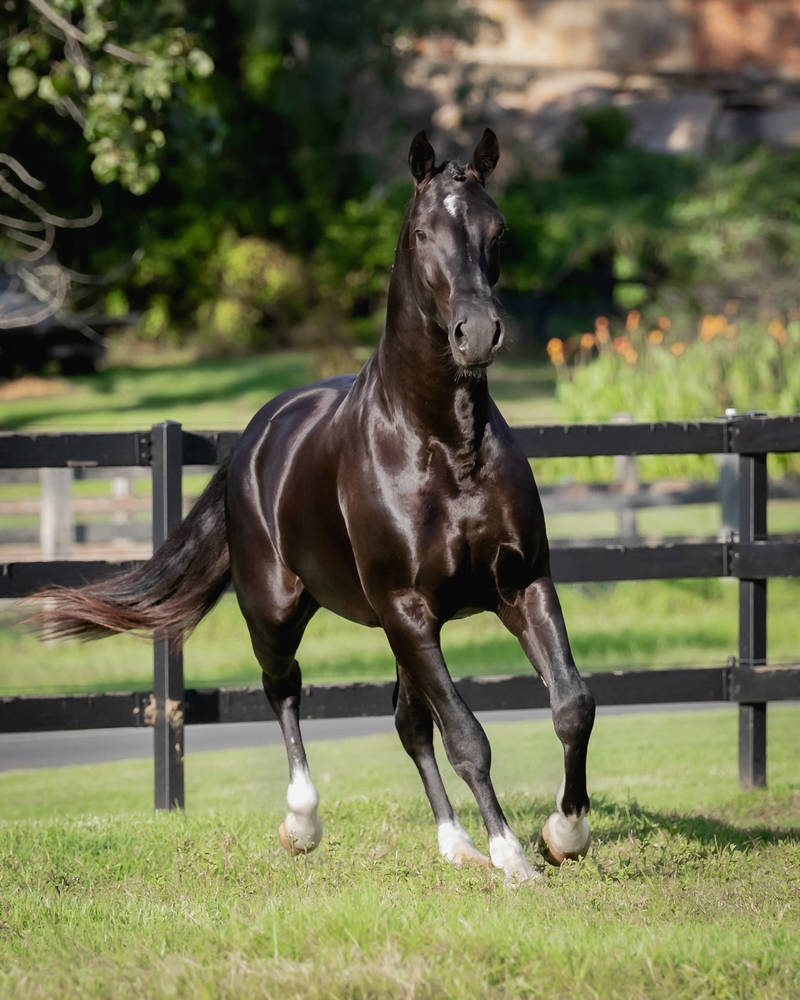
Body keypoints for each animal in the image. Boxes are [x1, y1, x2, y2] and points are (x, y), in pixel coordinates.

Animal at [32, 129, 595, 884]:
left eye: (496, 229)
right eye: (422, 232)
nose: (476, 334)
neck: (445, 445)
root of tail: (256, 435)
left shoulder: (520, 584)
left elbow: (570, 704)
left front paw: (564, 833)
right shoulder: (407, 609)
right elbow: (468, 736)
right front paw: (512, 858)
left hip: (401, 627)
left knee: (408, 722)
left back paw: (454, 843)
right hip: (279, 610)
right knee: (285, 690)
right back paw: (302, 823)